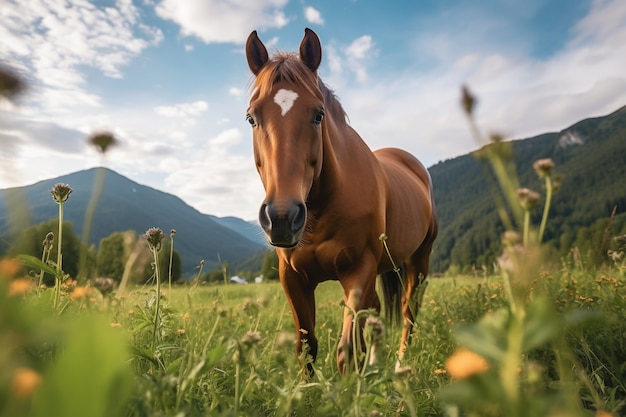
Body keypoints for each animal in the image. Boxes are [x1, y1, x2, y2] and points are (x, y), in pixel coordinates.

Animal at [245, 29, 438, 374]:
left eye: (318, 114)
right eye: (252, 118)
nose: (282, 217)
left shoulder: (359, 270)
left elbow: (347, 350)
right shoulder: (292, 279)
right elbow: (307, 347)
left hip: (419, 260)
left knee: (408, 311)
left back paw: (400, 362)